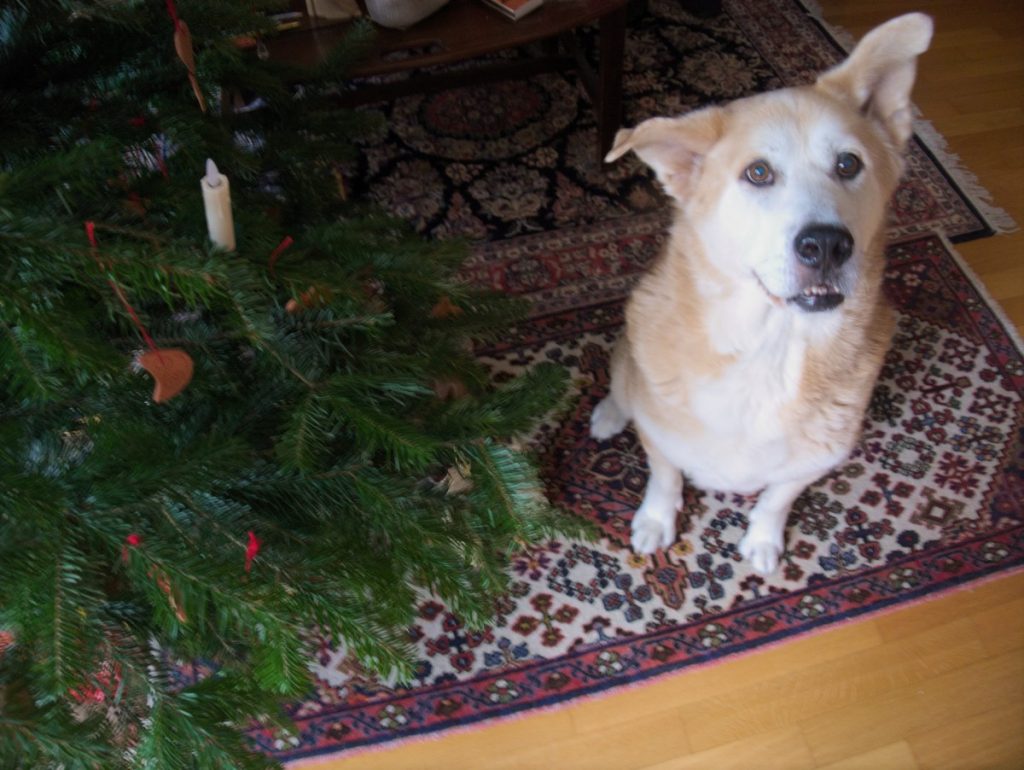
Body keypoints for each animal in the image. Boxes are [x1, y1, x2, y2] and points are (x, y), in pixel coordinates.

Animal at [593, 15, 937, 573]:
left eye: (848, 164)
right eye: (758, 173)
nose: (826, 244)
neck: (771, 348)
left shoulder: (818, 457)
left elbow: (778, 497)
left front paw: (762, 540)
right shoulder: (659, 437)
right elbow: (664, 477)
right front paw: (655, 521)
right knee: (620, 383)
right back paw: (607, 414)